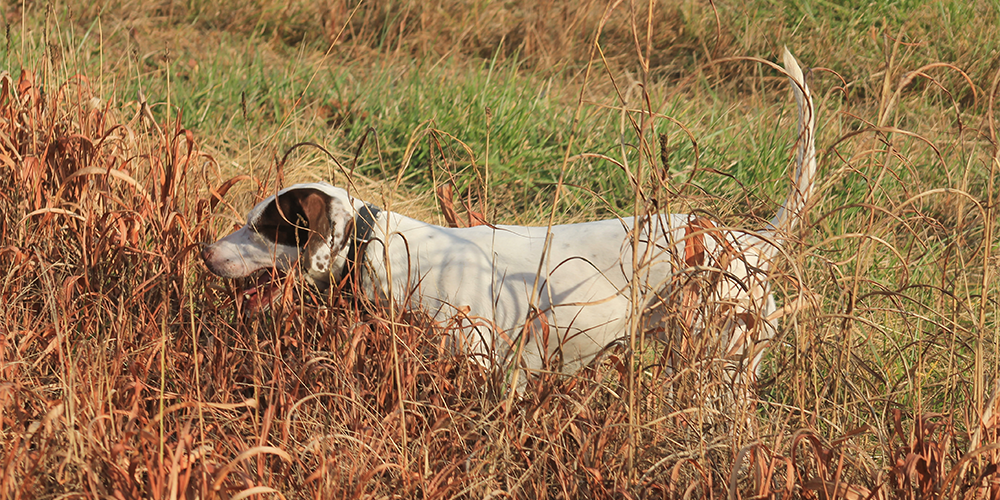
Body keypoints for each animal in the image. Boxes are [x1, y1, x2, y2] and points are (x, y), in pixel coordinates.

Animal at [201, 47, 812, 386]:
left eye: (264, 228)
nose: (204, 254)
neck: (377, 250)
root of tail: (750, 244)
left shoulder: (478, 363)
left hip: (714, 367)